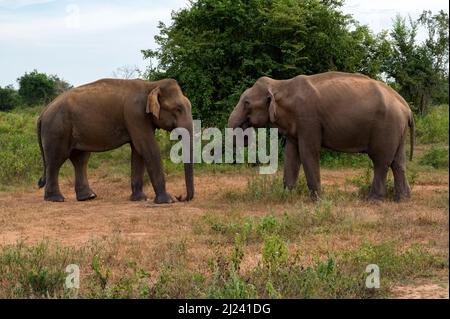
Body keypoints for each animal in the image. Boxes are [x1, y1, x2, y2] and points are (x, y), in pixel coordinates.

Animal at [36, 79, 193, 205]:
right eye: (178, 109)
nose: (181, 196)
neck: (152, 85)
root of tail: (43, 112)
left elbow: (137, 151)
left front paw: (140, 198)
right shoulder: (135, 115)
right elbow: (147, 147)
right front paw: (167, 201)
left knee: (80, 159)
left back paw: (88, 197)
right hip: (56, 129)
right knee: (56, 160)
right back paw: (56, 199)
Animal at [229, 72, 414, 202]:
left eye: (246, 103)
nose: (246, 136)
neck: (281, 84)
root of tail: (406, 107)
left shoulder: (308, 118)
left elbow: (307, 152)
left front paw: (317, 201)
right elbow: (291, 154)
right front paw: (286, 196)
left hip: (387, 126)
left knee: (381, 161)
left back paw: (373, 200)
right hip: (397, 128)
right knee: (398, 162)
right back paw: (403, 199)